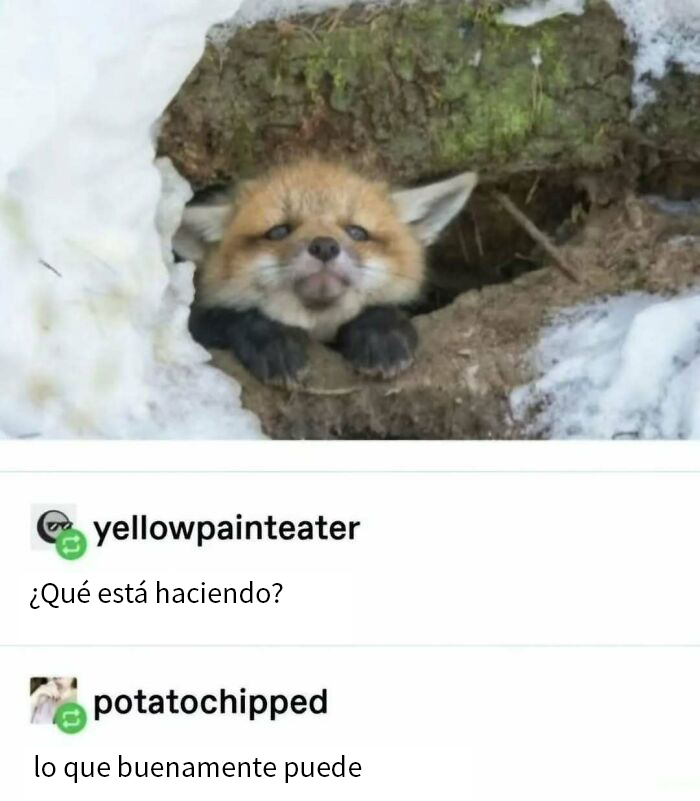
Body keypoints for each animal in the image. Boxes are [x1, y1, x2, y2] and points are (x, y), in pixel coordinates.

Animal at [175, 158, 477, 387]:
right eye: (278, 231)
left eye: (357, 232)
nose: (324, 246)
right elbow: (230, 317)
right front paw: (272, 341)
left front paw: (381, 332)